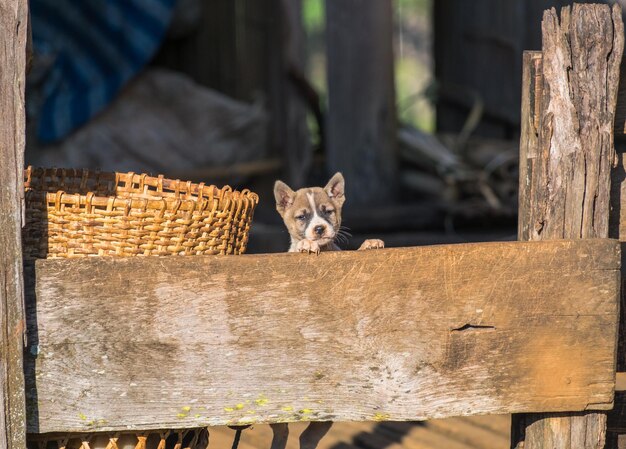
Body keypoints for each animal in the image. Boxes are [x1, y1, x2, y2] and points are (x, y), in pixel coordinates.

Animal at [270, 172, 382, 448]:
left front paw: (370, 244)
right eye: (302, 217)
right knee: (283, 430)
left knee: (307, 436)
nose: (319, 228)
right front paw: (305, 246)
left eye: (327, 211)